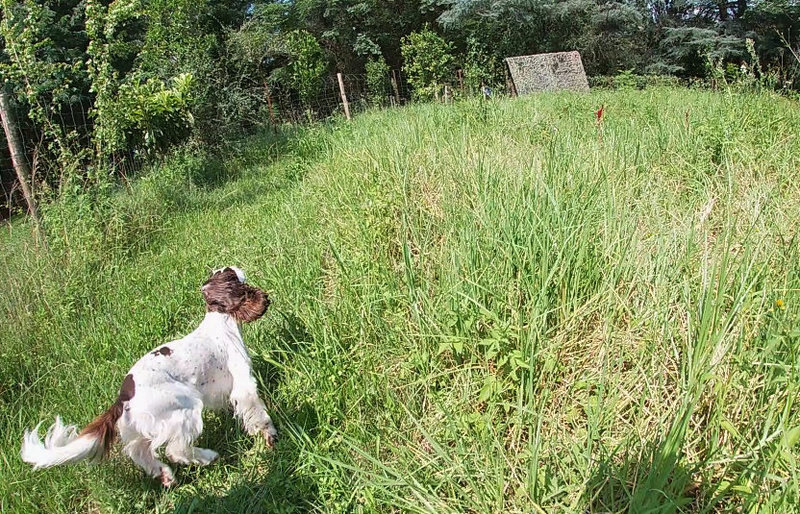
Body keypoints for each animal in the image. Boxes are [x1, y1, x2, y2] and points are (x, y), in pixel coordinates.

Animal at [21, 266, 277, 487]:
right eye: (238, 280)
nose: (266, 298)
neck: (220, 322)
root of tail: (124, 396)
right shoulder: (243, 383)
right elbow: (257, 413)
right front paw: (270, 437)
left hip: (141, 427)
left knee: (140, 452)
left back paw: (166, 476)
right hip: (185, 408)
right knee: (176, 450)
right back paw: (207, 456)